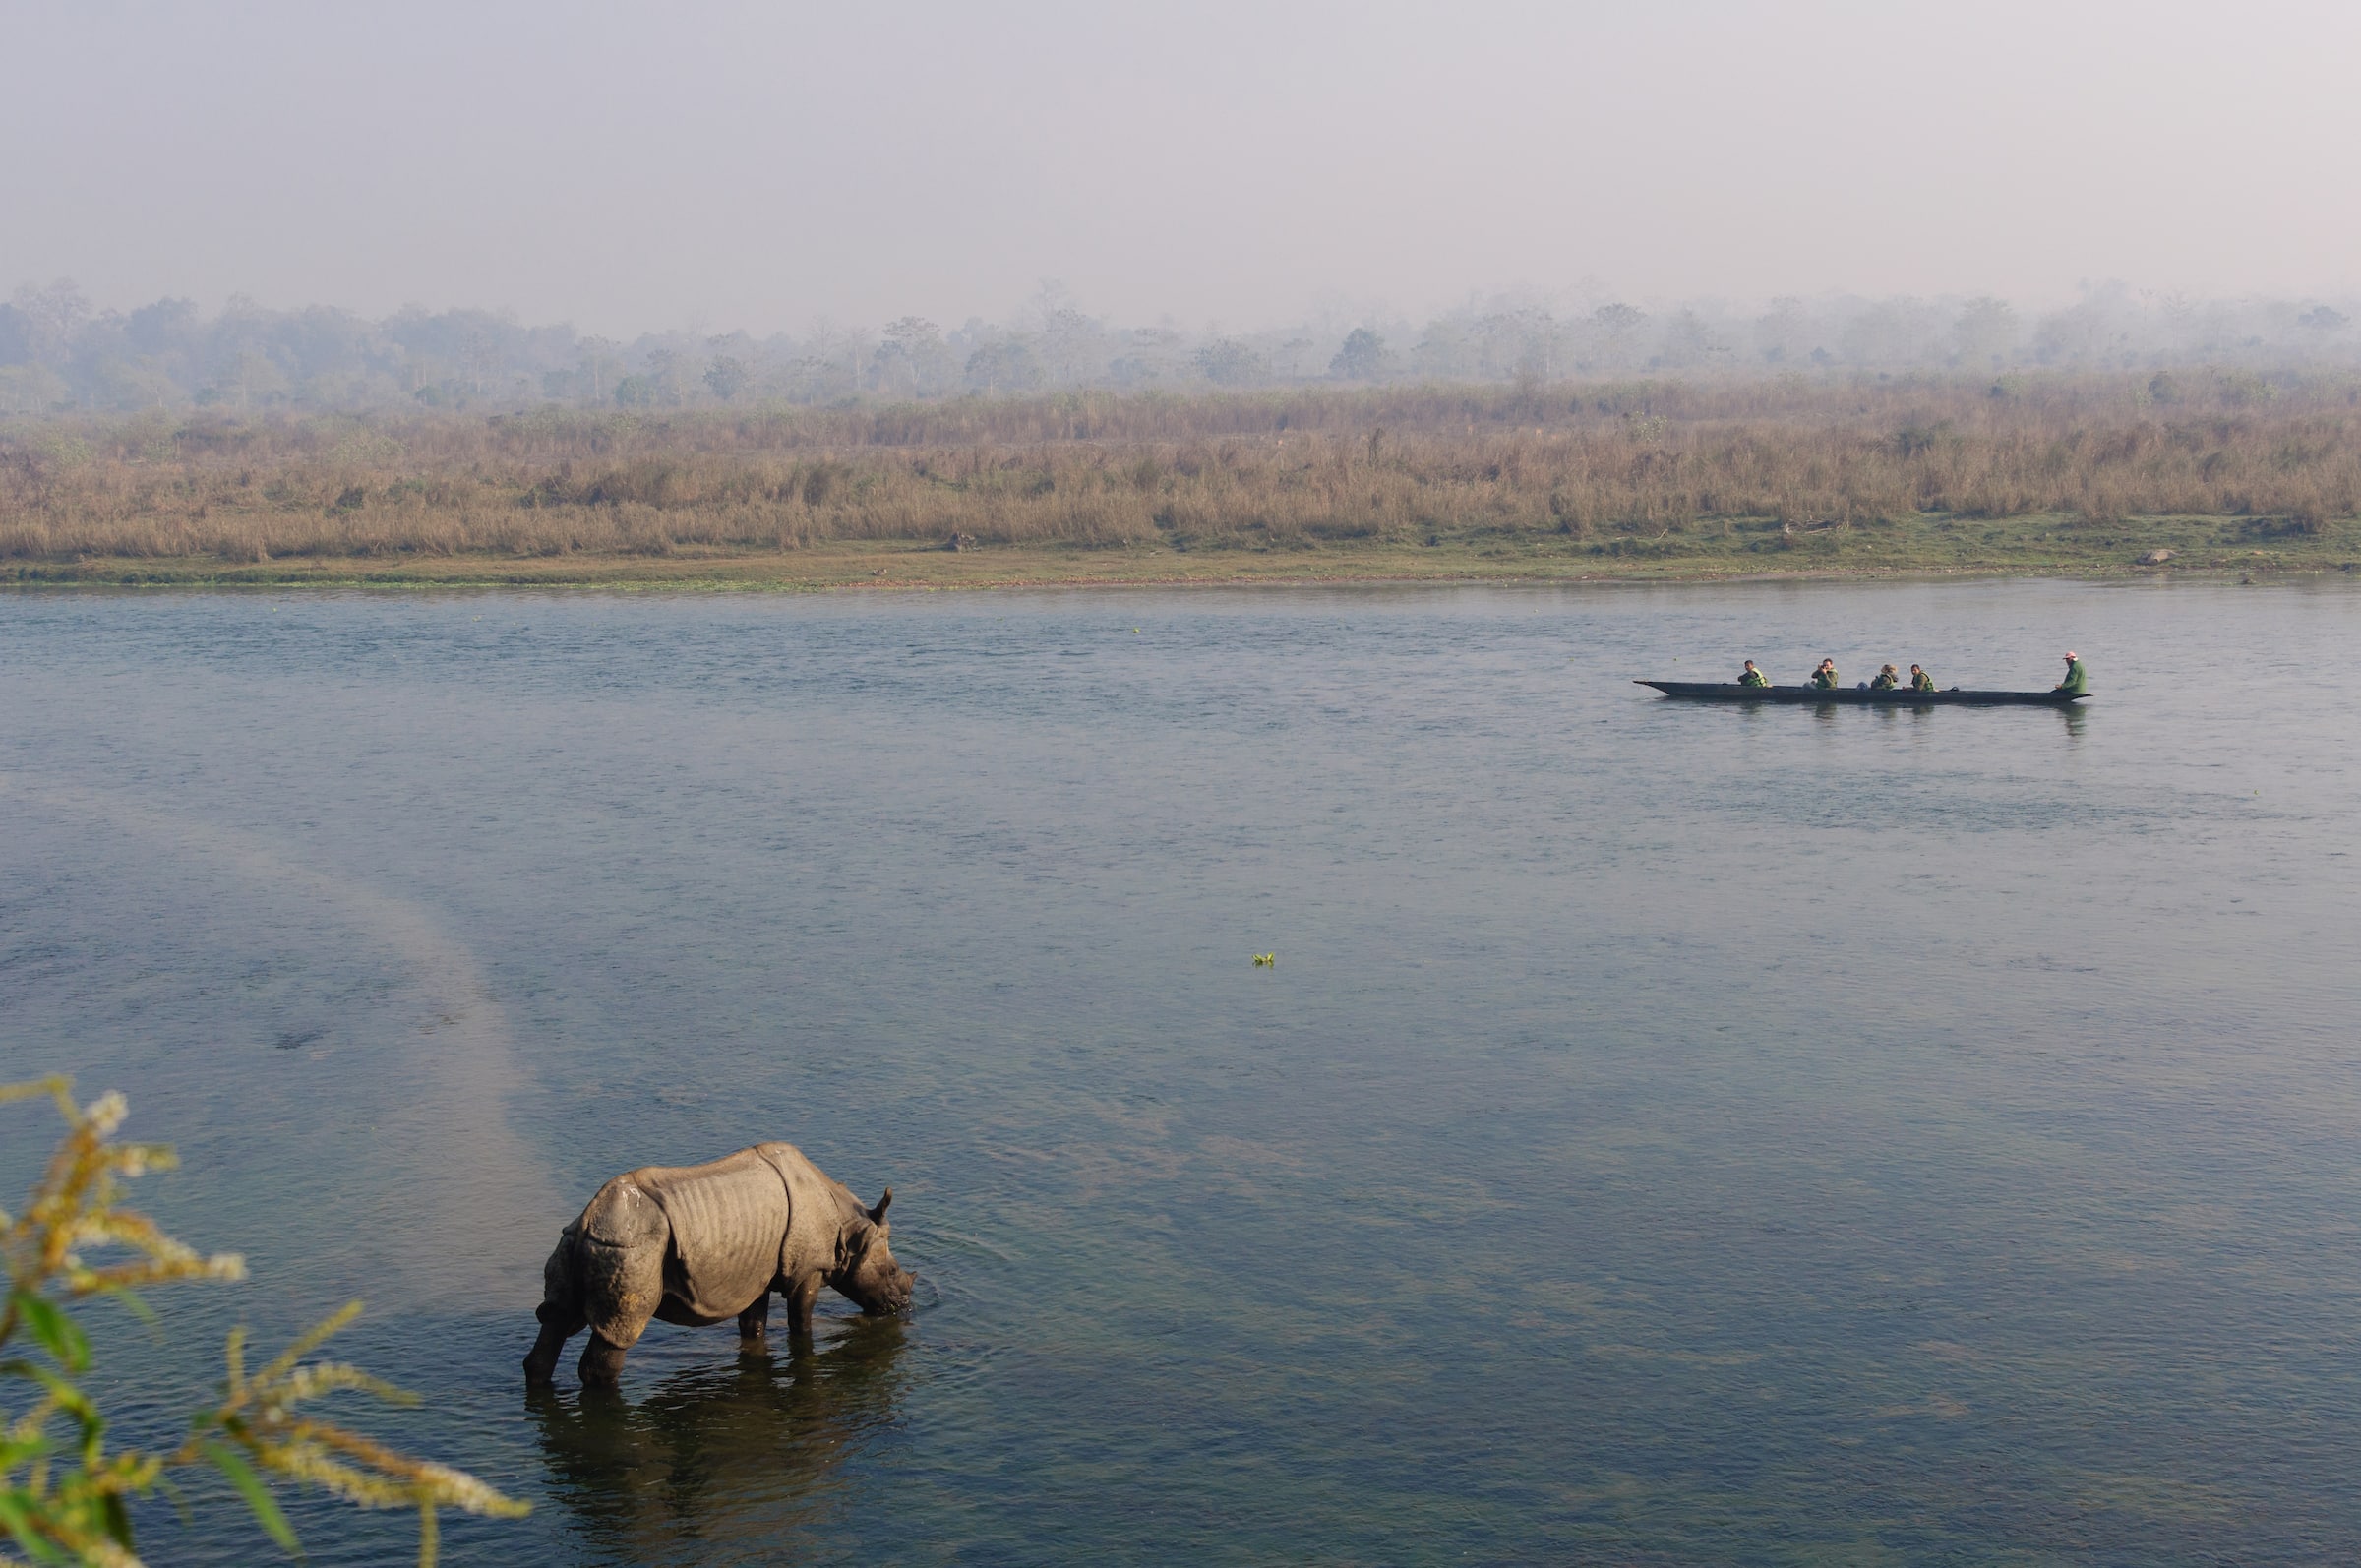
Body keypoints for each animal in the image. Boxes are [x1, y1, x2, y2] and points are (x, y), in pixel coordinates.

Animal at [524, 1142, 913, 1385]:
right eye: (893, 1272)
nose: (903, 1305)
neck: (849, 1229)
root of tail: (590, 1220)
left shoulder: (756, 1270)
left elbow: (753, 1324)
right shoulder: (808, 1269)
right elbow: (800, 1320)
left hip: (580, 1241)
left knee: (556, 1317)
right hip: (632, 1246)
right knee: (618, 1334)